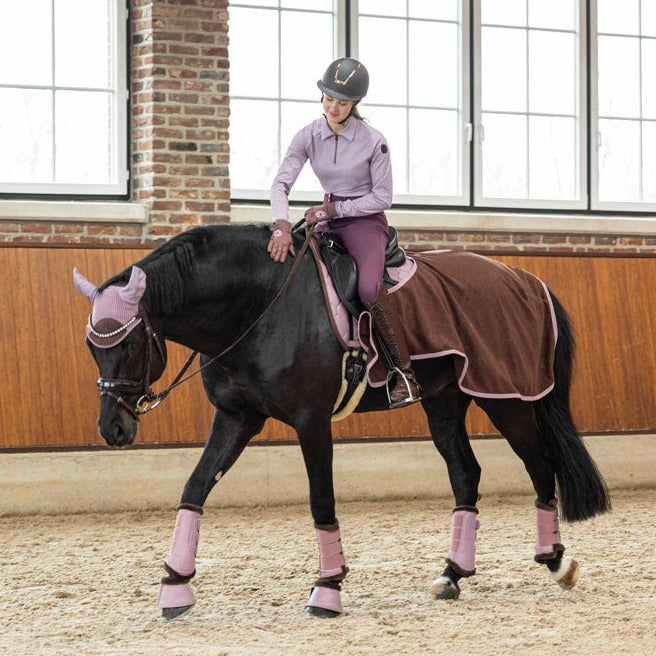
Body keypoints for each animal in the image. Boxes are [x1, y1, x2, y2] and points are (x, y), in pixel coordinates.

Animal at [73, 223, 610, 620]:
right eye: (92, 348)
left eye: (132, 344)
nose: (112, 429)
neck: (259, 303)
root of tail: (525, 278)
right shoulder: (236, 418)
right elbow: (194, 488)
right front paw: (175, 587)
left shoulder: (312, 421)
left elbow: (321, 500)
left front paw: (327, 590)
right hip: (445, 404)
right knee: (466, 473)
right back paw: (453, 574)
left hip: (507, 400)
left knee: (540, 465)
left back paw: (556, 560)